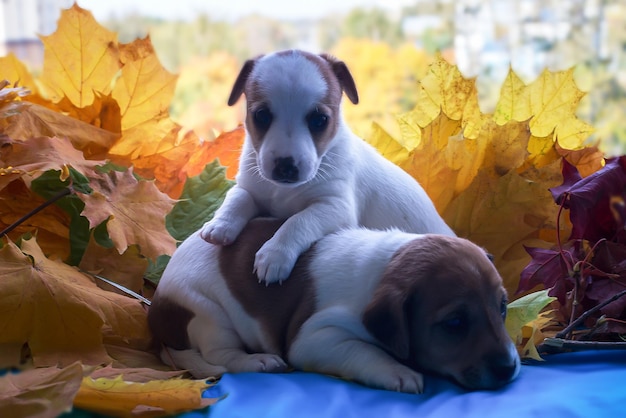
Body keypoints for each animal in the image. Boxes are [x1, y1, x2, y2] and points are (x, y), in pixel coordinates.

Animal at [149, 219, 520, 392]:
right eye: (455, 323)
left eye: (502, 307)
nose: (508, 368)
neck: (383, 266)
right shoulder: (316, 337)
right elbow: (365, 351)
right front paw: (396, 371)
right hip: (208, 313)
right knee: (222, 357)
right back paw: (259, 362)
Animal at [200, 49, 454, 284]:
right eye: (261, 115)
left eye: (319, 120)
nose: (285, 166)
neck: (283, 191)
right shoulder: (250, 187)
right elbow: (236, 197)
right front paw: (220, 224)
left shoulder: (335, 207)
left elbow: (298, 221)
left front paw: (274, 254)